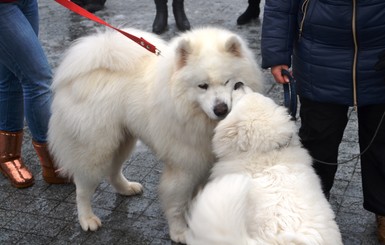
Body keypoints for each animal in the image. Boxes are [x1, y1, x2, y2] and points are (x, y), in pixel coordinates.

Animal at [48, 25, 264, 242]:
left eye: (228, 81)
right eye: (203, 86)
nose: (221, 109)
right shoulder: (184, 166)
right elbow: (177, 205)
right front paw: (179, 232)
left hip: (123, 141)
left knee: (113, 171)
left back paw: (126, 188)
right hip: (95, 150)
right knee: (82, 187)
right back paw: (87, 219)